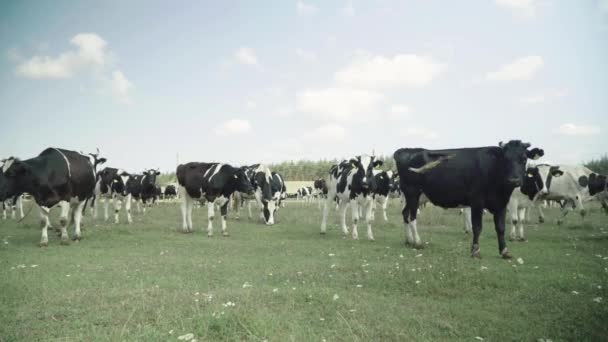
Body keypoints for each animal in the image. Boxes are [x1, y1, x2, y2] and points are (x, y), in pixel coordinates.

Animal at [394, 140, 548, 258]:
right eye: (506, 159)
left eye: (524, 158)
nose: (514, 180)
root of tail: (406, 150)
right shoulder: (477, 202)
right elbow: (477, 227)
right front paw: (475, 251)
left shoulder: (501, 204)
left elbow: (500, 227)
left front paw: (504, 251)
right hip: (412, 193)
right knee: (412, 216)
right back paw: (418, 242)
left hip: (415, 197)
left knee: (405, 214)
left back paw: (409, 240)